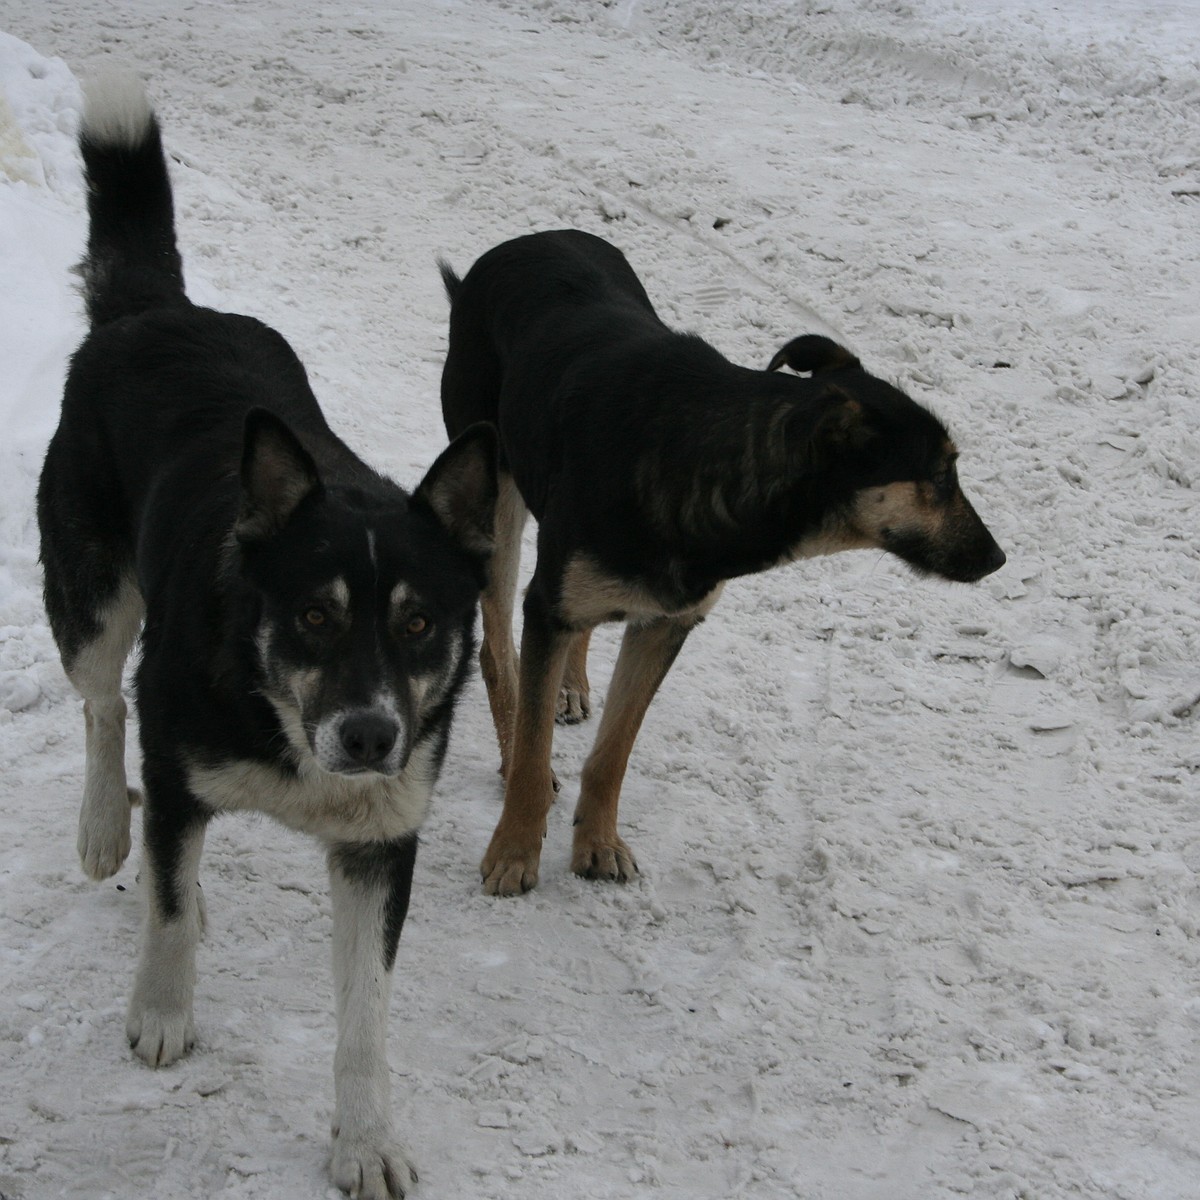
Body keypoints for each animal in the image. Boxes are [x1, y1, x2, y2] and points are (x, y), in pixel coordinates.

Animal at [39, 75, 494, 1200]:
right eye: (315, 614)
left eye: (420, 621)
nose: (370, 736)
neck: (281, 713)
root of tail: (159, 311)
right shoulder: (180, 751)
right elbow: (163, 901)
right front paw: (160, 1012)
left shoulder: (380, 845)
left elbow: (366, 1017)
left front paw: (365, 1139)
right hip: (93, 595)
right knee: (104, 707)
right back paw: (105, 828)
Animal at [441, 229, 1003, 897]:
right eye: (941, 475)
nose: (997, 558)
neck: (707, 459)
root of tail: (525, 241)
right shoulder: (552, 604)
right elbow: (534, 750)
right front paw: (514, 851)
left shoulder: (666, 623)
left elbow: (613, 753)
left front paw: (598, 845)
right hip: (496, 494)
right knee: (498, 649)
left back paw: (572, 686)